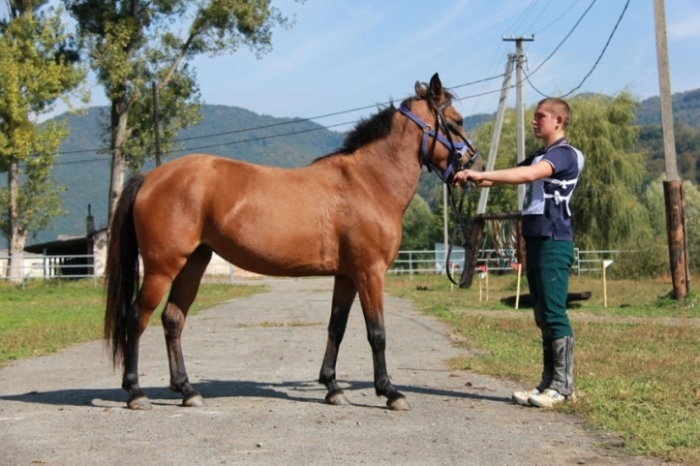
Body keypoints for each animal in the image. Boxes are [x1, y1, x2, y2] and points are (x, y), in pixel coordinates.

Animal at [105, 73, 482, 412]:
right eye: (457, 120)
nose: (473, 163)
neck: (367, 182)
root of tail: (150, 177)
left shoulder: (347, 276)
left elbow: (336, 328)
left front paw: (332, 387)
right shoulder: (370, 273)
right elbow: (377, 333)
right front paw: (389, 392)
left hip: (193, 263)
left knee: (172, 319)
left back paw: (187, 390)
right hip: (161, 267)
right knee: (136, 318)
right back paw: (136, 392)